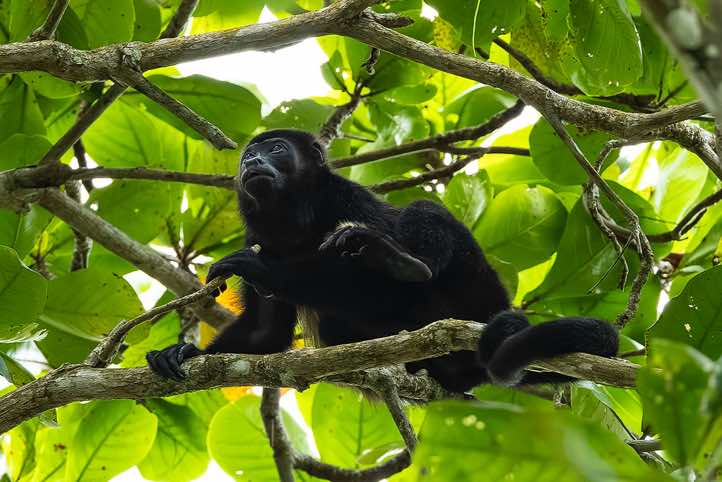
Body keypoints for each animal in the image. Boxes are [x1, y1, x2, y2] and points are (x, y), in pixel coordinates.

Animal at [146, 129, 618, 393]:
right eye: (248, 156)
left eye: (276, 149)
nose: (254, 160)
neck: (295, 218)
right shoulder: (259, 235)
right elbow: (265, 333)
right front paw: (182, 352)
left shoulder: (347, 199)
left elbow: (381, 288)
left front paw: (260, 270)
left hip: (478, 290)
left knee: (424, 215)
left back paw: (405, 262)